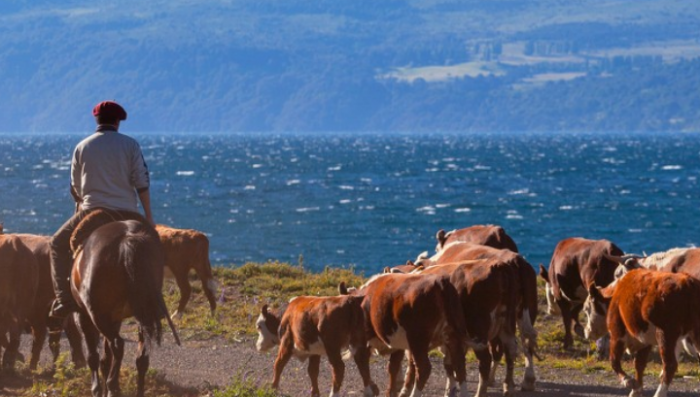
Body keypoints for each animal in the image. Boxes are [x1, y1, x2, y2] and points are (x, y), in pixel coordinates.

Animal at [71, 220, 179, 396]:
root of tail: (128, 238)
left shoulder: (83, 316)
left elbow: (93, 357)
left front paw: (98, 390)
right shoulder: (114, 319)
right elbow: (105, 358)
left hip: (97, 316)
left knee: (117, 344)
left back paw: (113, 385)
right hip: (142, 312)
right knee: (141, 357)